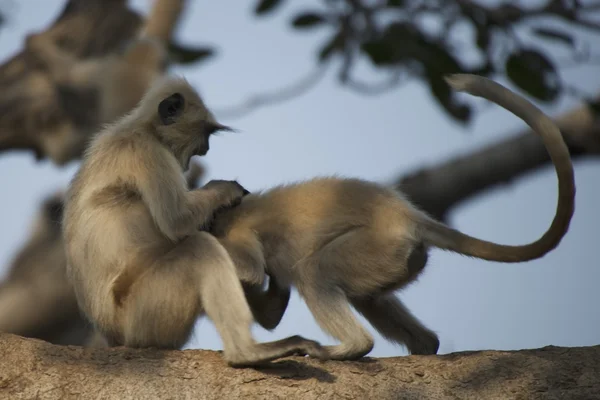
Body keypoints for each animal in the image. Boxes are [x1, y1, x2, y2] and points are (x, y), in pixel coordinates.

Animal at [62, 76, 326, 368]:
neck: (143, 128)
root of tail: (113, 335)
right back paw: (247, 351)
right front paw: (228, 190)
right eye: (205, 134)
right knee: (200, 247)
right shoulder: (146, 152)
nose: (206, 149)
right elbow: (177, 221)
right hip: (143, 317)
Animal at [206, 74, 576, 360]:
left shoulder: (235, 229)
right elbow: (268, 310)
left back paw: (353, 347)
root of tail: (405, 215)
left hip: (377, 245)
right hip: (393, 257)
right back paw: (424, 345)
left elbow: (250, 272)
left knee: (314, 273)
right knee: (366, 297)